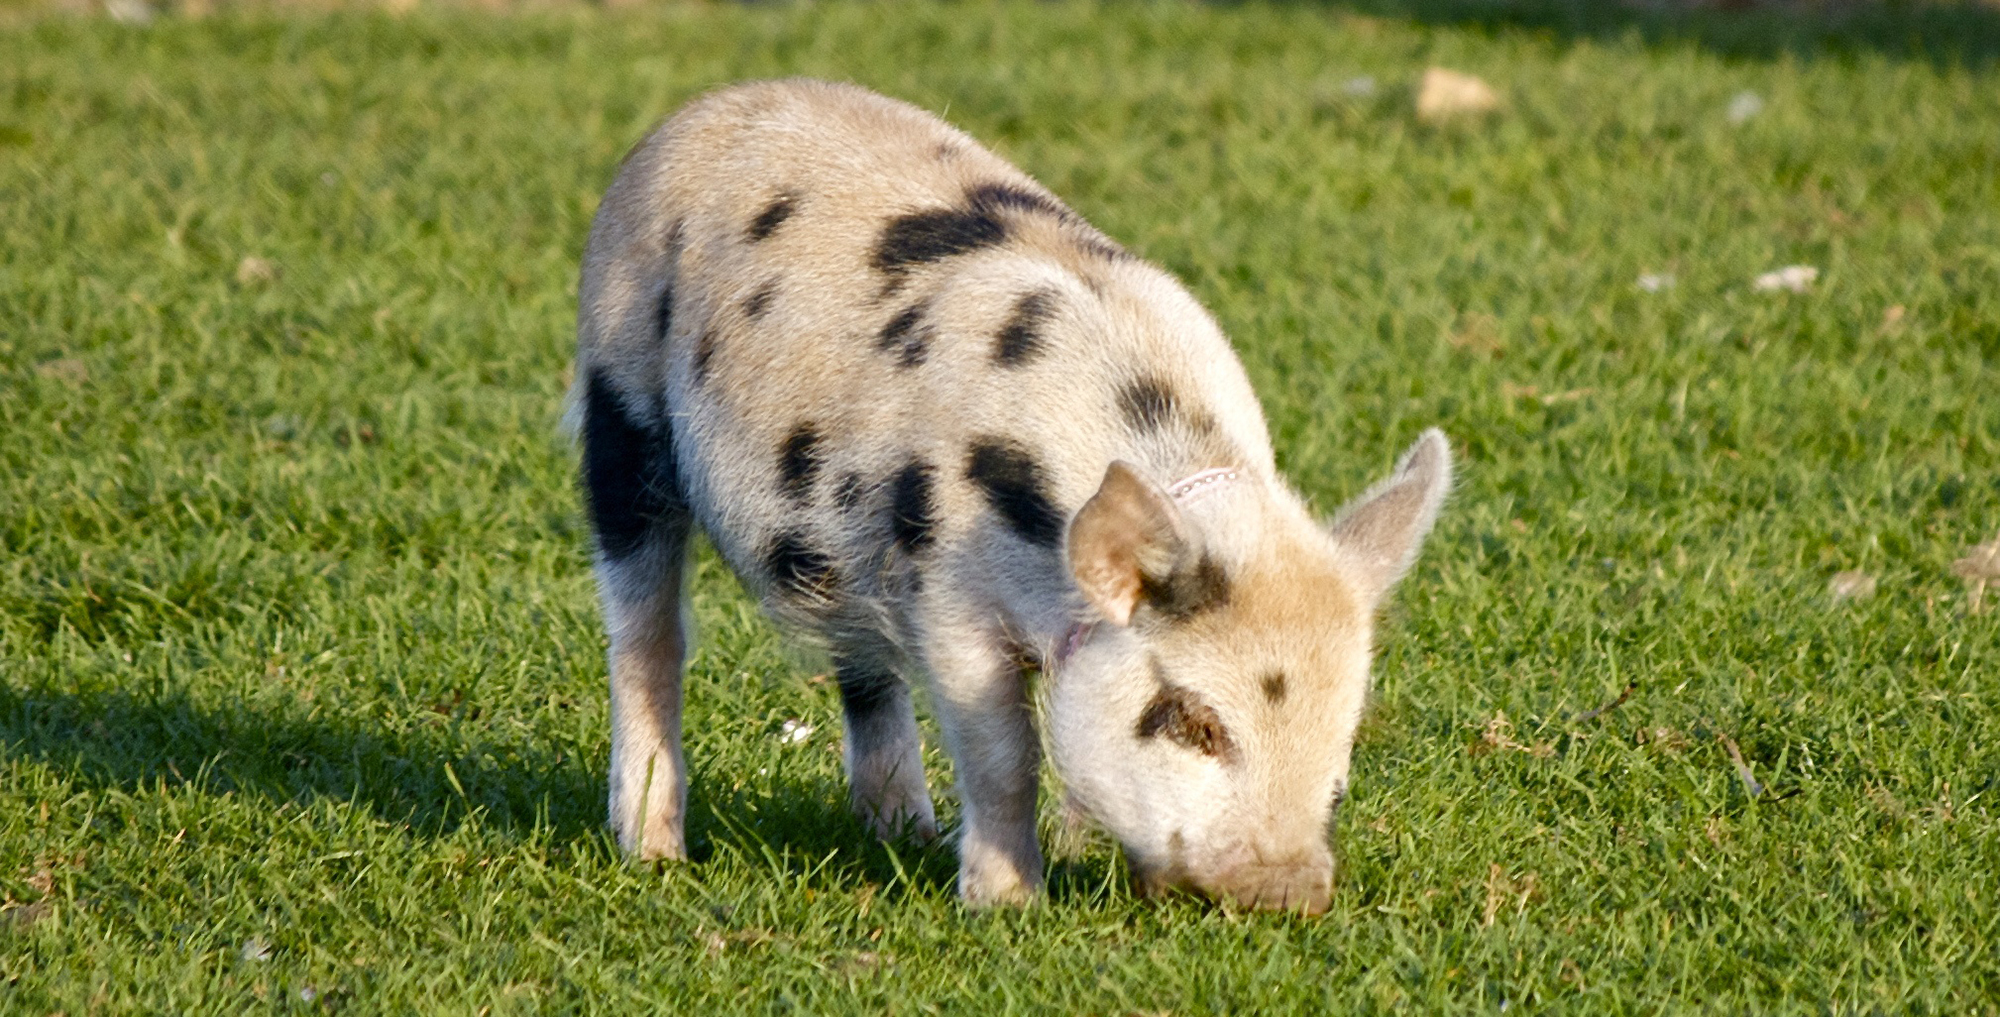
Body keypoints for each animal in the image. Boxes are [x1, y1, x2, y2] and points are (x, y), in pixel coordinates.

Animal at [572, 75, 1448, 908]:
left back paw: (905, 833)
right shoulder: (944, 588)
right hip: (617, 405)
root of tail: (707, 108)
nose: (1290, 891)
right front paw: (1008, 905)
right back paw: (655, 853)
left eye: (1343, 742)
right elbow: (1005, 752)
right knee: (646, 636)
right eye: (1196, 722)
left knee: (860, 662)